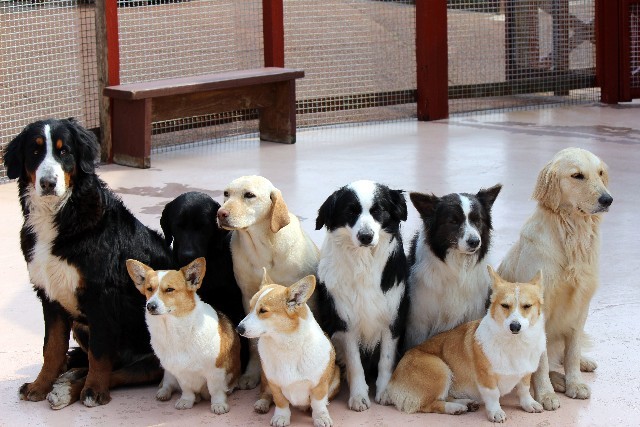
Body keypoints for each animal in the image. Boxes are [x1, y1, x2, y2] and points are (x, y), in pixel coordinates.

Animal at [2, 118, 175, 410]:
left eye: (64, 151)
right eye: (35, 151)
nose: (48, 183)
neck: (61, 215)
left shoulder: (101, 295)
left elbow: (99, 354)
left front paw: (94, 390)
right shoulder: (49, 294)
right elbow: (52, 348)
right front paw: (40, 385)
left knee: (121, 370)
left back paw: (70, 388)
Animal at [218, 176, 320, 396]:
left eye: (249, 195)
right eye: (226, 194)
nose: (221, 214)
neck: (263, 247)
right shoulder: (247, 297)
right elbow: (253, 342)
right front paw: (252, 374)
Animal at [498, 147, 612, 412]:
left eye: (600, 173)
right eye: (577, 175)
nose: (607, 200)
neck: (571, 233)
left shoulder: (581, 307)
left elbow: (572, 353)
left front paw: (575, 383)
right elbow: (540, 364)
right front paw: (546, 394)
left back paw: (582, 364)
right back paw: (556, 382)